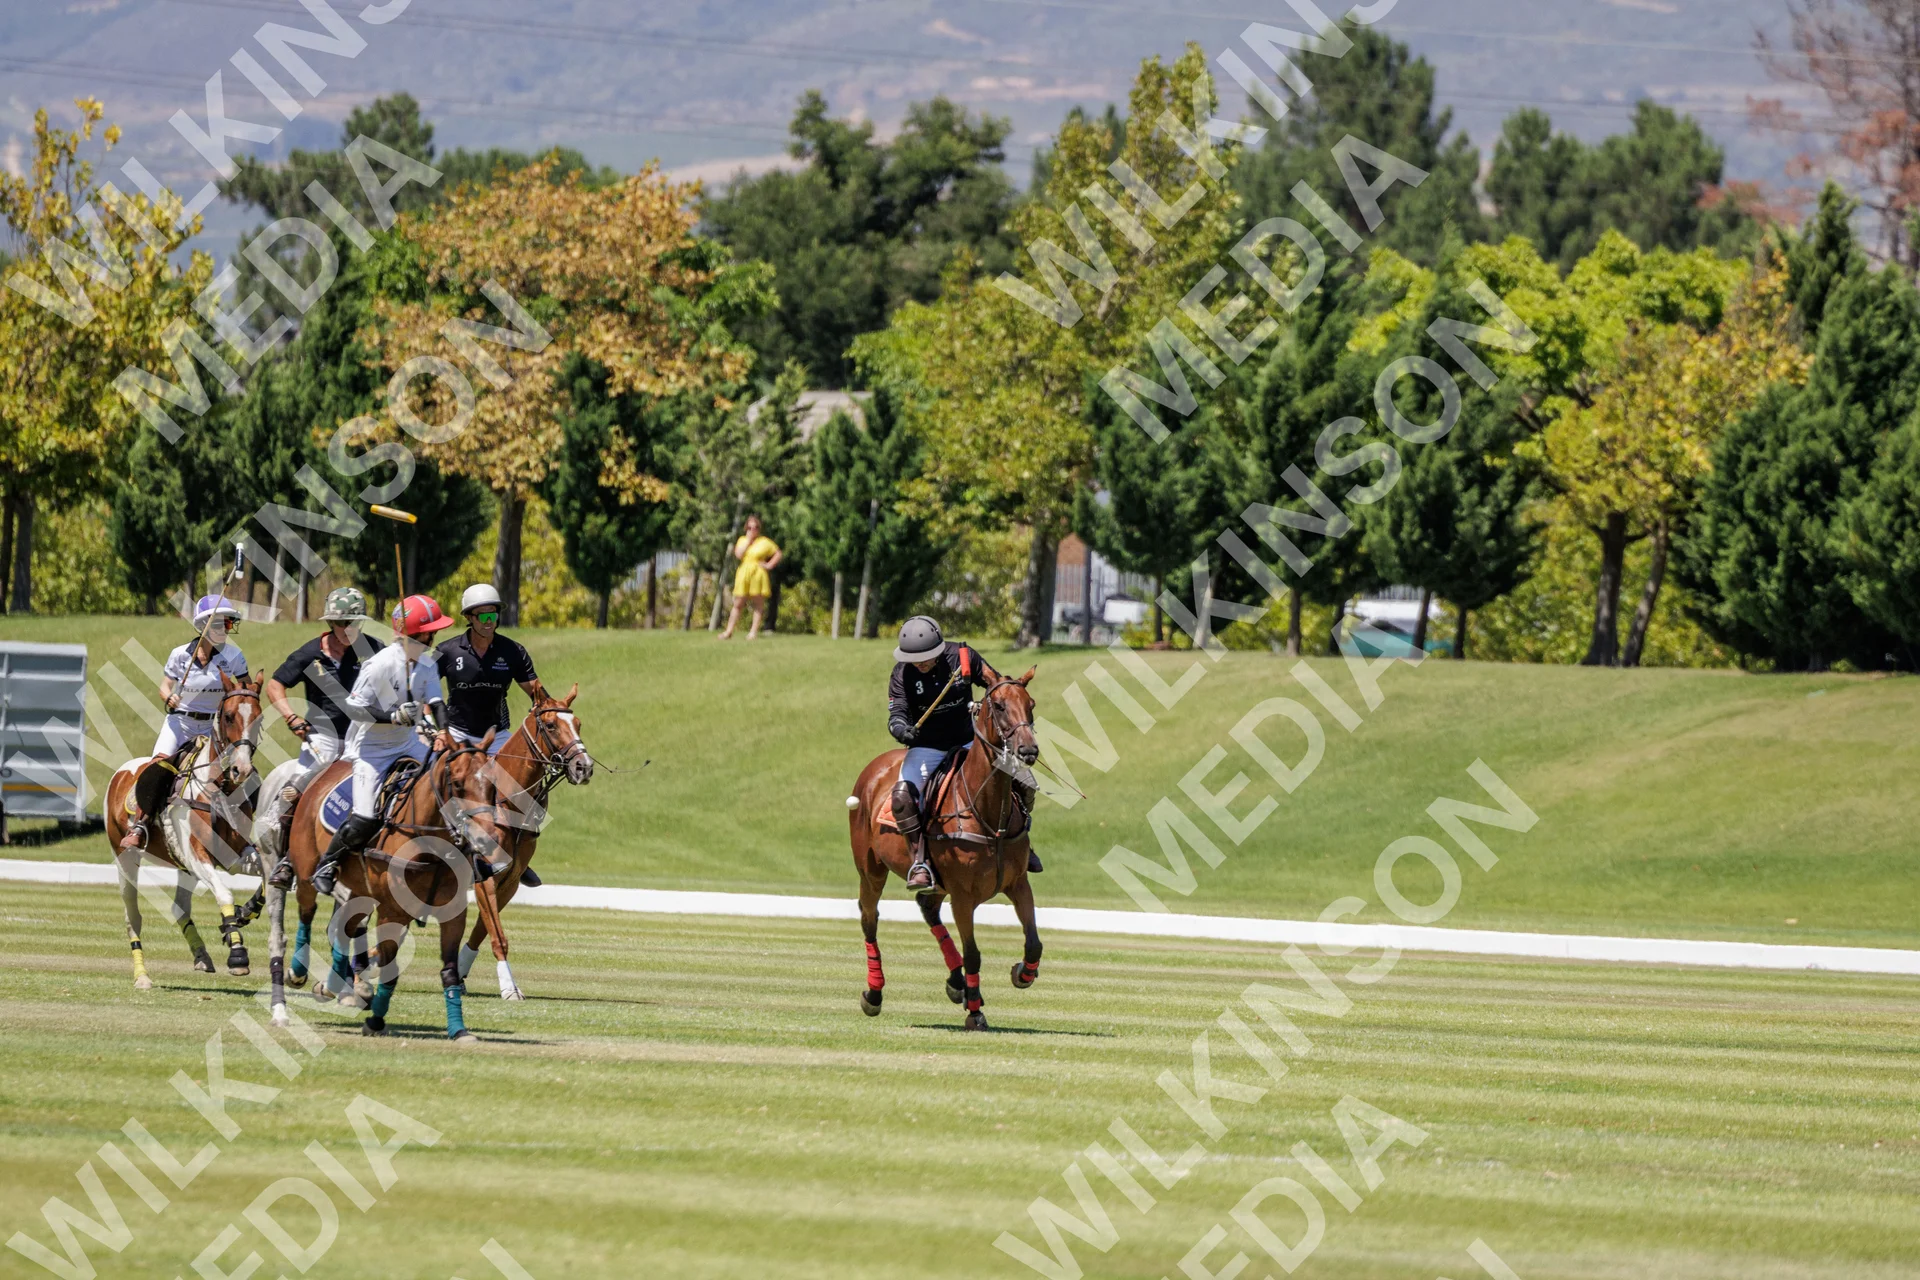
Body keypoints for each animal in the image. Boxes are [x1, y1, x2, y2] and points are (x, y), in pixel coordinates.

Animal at [102, 675, 265, 986]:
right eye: (228, 716)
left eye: (259, 717)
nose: (241, 770)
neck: (219, 788)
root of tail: (121, 772)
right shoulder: (197, 854)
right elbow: (224, 894)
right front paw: (237, 952)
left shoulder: (234, 855)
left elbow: (269, 876)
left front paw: (246, 912)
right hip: (124, 857)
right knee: (133, 916)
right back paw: (142, 976)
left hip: (182, 865)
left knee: (178, 908)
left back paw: (202, 956)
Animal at [270, 729, 507, 1039]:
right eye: (457, 784)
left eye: (492, 785)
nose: (487, 840)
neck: (430, 843)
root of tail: (326, 771)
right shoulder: (392, 911)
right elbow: (389, 968)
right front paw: (375, 1021)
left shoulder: (453, 912)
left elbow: (449, 972)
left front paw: (458, 1030)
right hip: (307, 866)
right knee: (307, 913)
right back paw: (298, 971)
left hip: (360, 891)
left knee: (344, 928)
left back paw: (333, 986)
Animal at [455, 687, 595, 1000]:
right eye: (551, 725)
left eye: (578, 724)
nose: (585, 767)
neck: (504, 802)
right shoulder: (484, 878)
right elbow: (498, 935)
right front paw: (509, 988)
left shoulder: (509, 880)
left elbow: (483, 930)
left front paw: (458, 973)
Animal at [848, 669, 1042, 1030]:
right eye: (999, 705)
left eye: (1031, 703)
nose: (1028, 750)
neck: (988, 813)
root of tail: (876, 766)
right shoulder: (963, 896)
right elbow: (973, 954)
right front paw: (976, 1013)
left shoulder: (1019, 883)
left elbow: (1034, 943)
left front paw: (1021, 974)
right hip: (870, 870)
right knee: (869, 918)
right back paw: (874, 994)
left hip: (937, 883)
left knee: (927, 906)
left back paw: (957, 984)